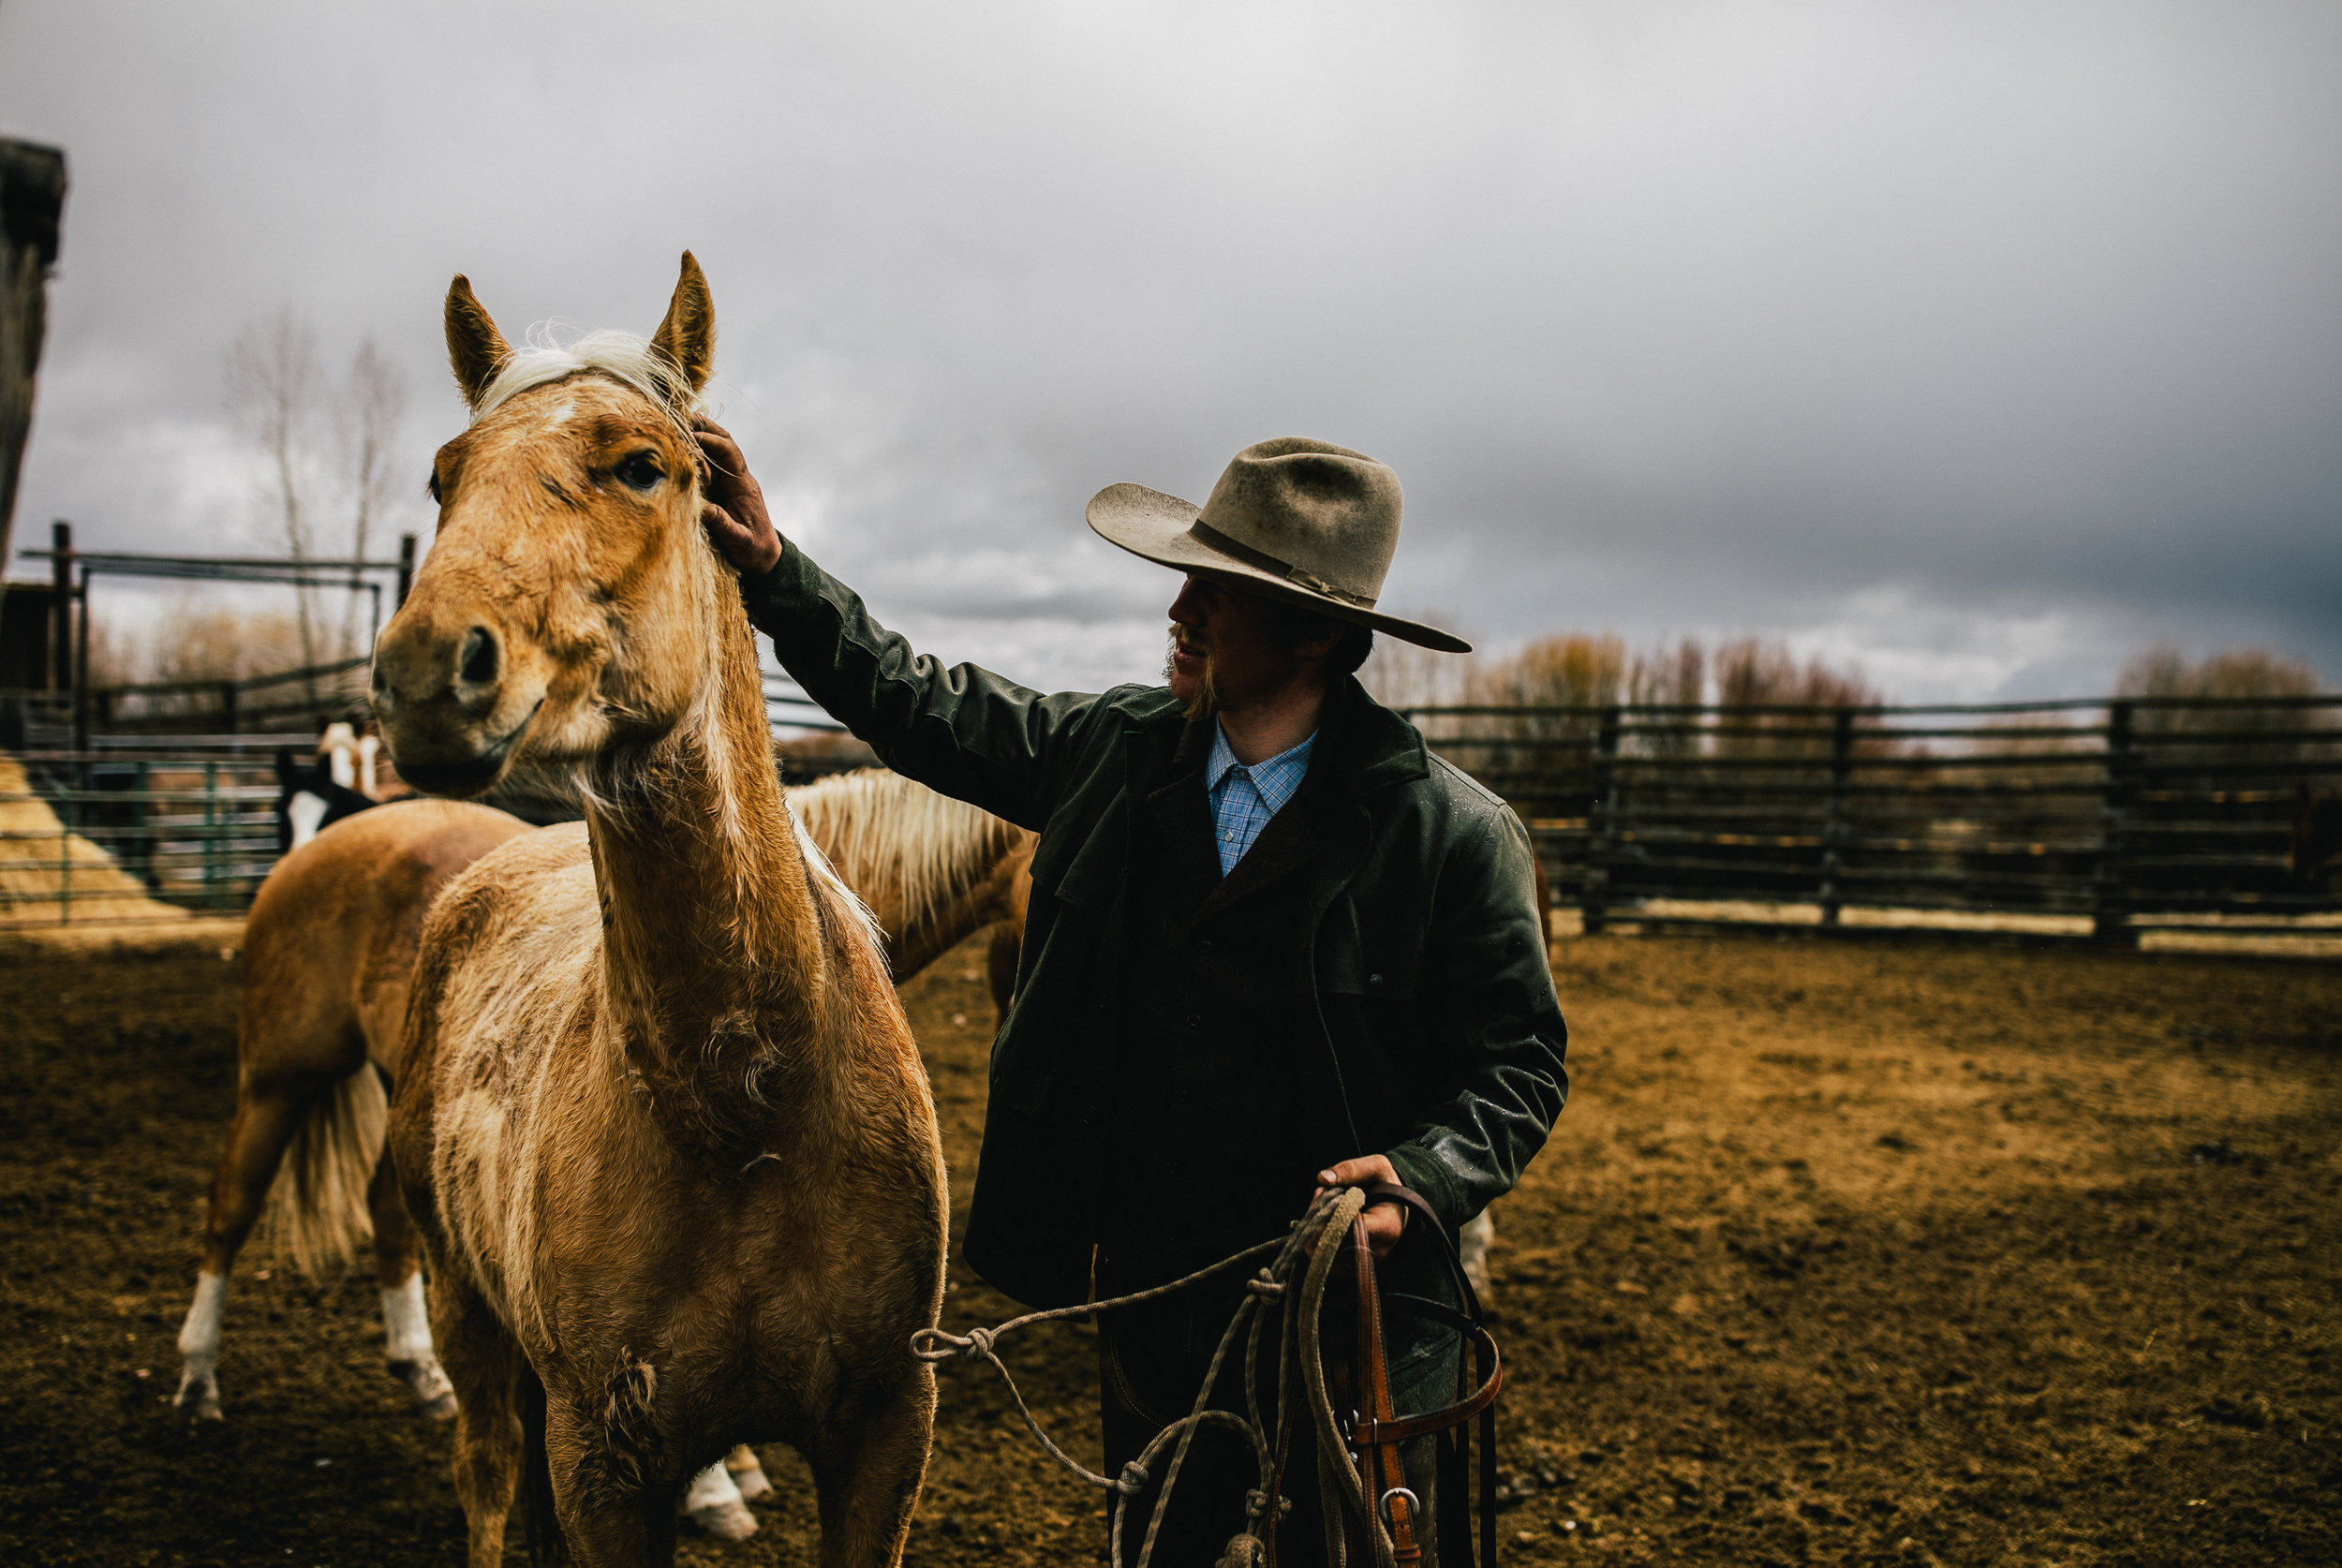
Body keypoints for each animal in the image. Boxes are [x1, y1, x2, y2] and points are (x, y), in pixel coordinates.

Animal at [370, 260, 946, 1568]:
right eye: (443, 477)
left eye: (642, 465)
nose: (426, 672)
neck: (746, 1108)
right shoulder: (604, 1461)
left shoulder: (887, 1430)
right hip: (469, 1322)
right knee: (487, 1480)